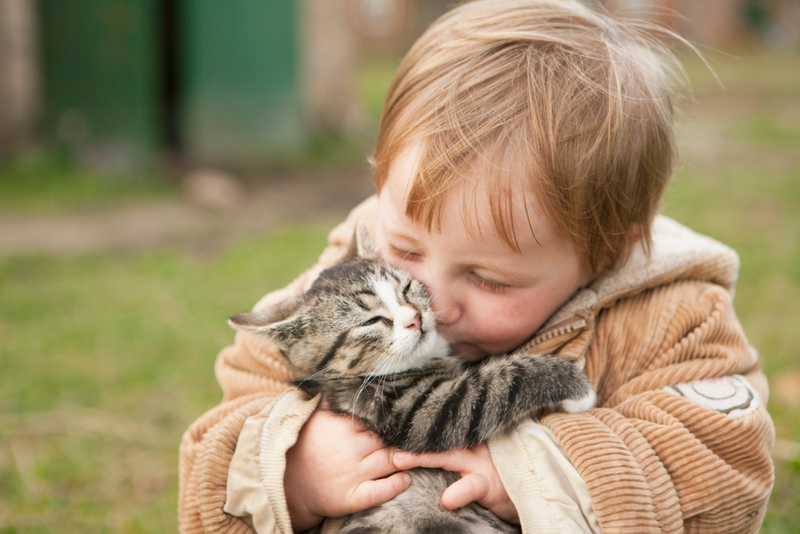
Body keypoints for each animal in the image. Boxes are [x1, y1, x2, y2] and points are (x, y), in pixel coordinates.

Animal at [228, 227, 596, 534]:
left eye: (406, 289)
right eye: (371, 321)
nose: (415, 319)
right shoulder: (415, 410)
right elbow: (498, 383)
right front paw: (574, 386)